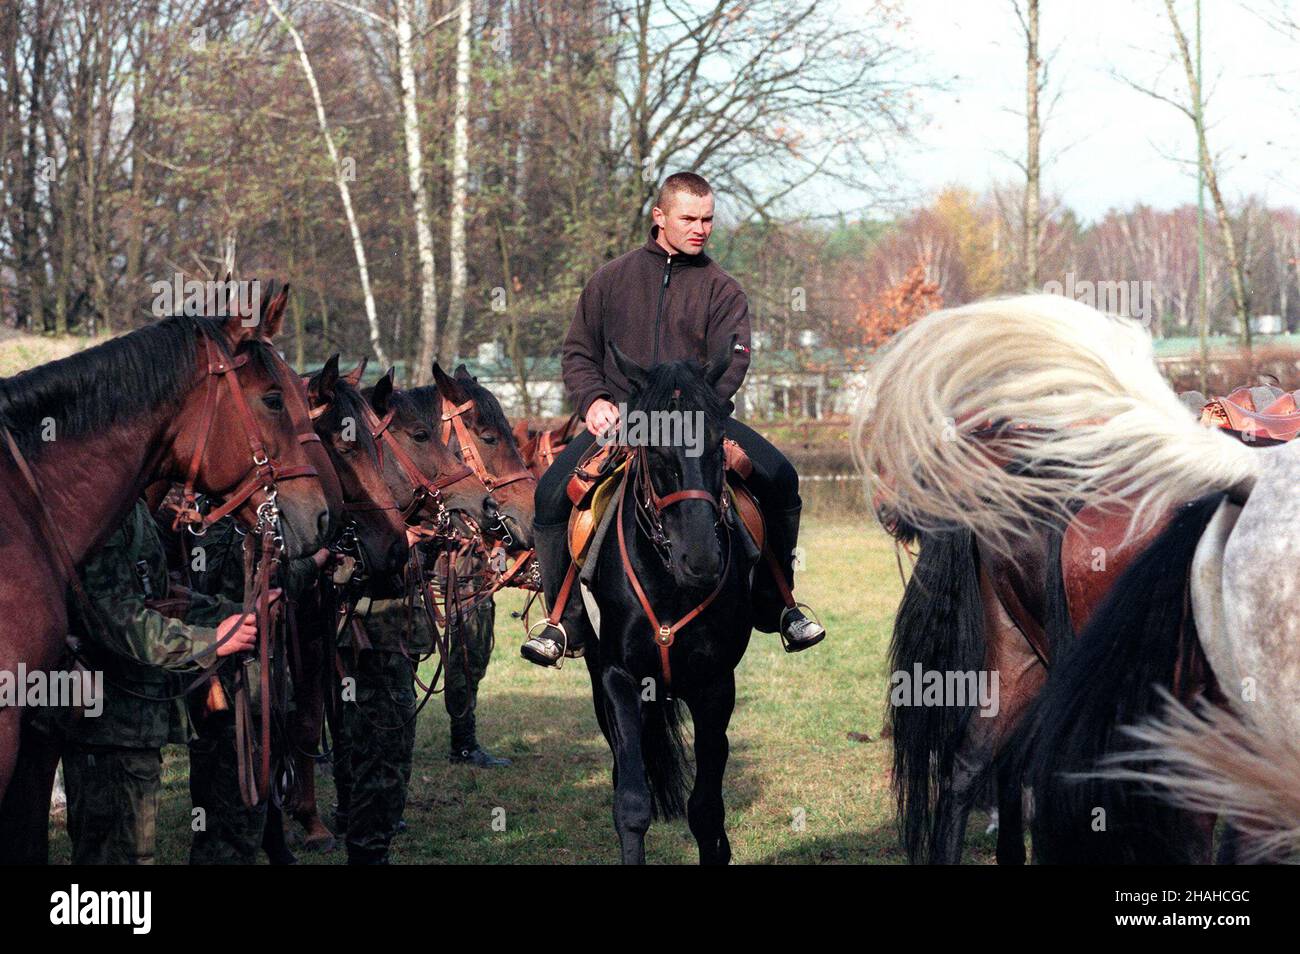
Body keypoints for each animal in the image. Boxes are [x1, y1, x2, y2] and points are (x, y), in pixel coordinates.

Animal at [572, 343, 759, 868]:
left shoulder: (716, 684)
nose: (702, 560)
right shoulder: (618, 677)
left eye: (716, 444)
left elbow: (707, 808)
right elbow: (633, 801)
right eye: (654, 450)